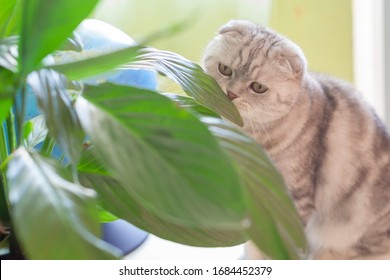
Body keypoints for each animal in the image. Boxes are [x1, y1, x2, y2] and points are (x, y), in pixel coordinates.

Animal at [203, 20, 390, 260]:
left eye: (258, 87)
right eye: (225, 69)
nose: (231, 93)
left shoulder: (292, 201)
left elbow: (277, 247)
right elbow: (253, 244)